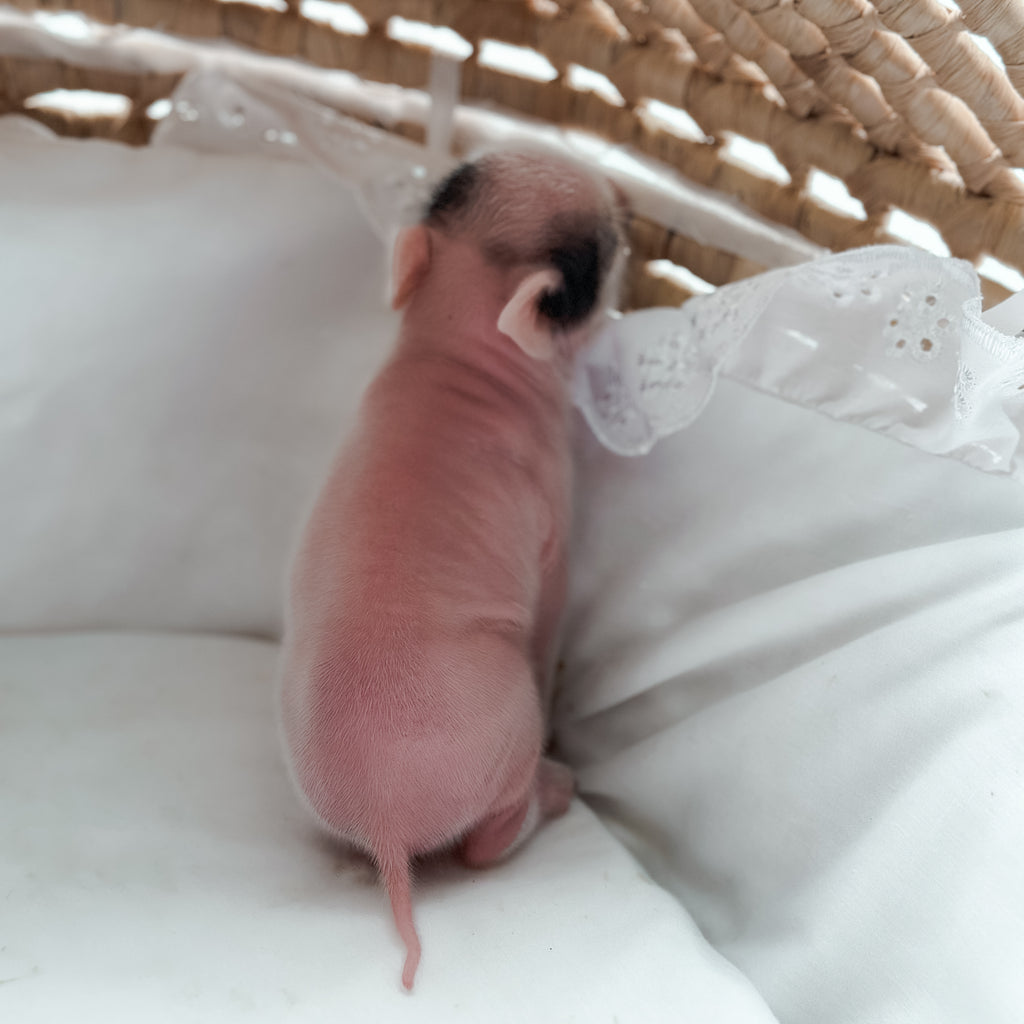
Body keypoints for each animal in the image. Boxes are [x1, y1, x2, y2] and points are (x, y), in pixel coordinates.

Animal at [279, 146, 626, 990]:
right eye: (602, 248)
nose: (624, 194)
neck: (450, 336)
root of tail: (388, 830)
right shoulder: (552, 521)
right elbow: (552, 613)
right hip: (507, 738)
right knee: (483, 845)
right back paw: (553, 791)